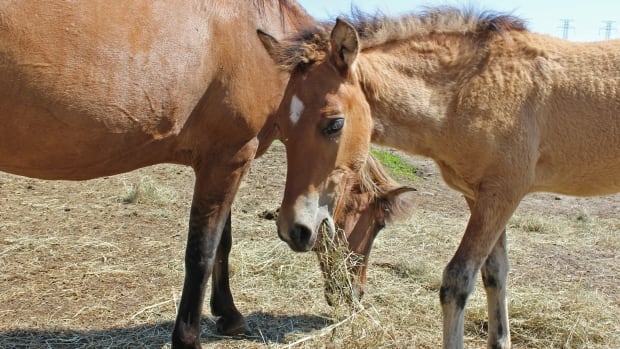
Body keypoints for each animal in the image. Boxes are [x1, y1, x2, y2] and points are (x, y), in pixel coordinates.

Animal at [0, 1, 318, 346]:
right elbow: (202, 252)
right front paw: (189, 337)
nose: (301, 235)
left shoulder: (222, 162)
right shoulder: (229, 157)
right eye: (334, 125)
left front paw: (229, 315)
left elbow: (223, 242)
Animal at [260, 8, 620, 348]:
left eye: (334, 124)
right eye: (280, 126)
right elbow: (495, 273)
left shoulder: (503, 193)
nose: (293, 229)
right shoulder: (478, 196)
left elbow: (457, 280)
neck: (472, 90)